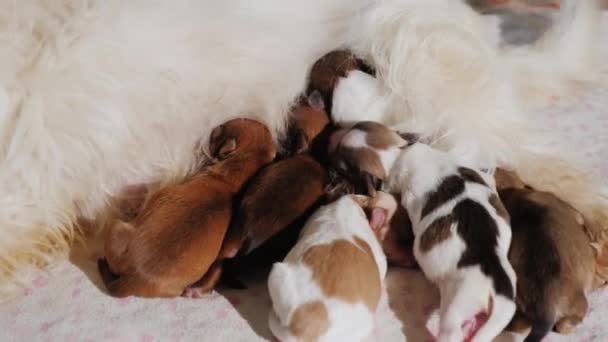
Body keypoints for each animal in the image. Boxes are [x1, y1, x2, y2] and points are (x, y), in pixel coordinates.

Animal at [494, 168, 600, 342]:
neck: (511, 192)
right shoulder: (568, 207)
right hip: (577, 301)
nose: (498, 167)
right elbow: (581, 217)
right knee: (569, 320)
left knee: (519, 325)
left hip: (521, 309)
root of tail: (545, 311)